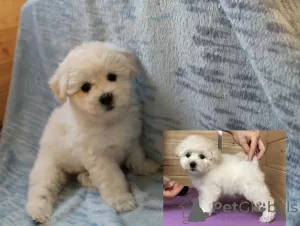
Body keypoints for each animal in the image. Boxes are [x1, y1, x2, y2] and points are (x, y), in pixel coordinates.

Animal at [26, 42, 161, 222]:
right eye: (85, 87)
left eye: (112, 76)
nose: (106, 97)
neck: (108, 120)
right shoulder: (99, 156)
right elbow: (111, 178)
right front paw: (121, 200)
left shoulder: (131, 138)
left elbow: (137, 155)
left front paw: (146, 166)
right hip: (49, 168)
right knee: (41, 189)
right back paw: (38, 212)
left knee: (79, 176)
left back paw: (88, 179)